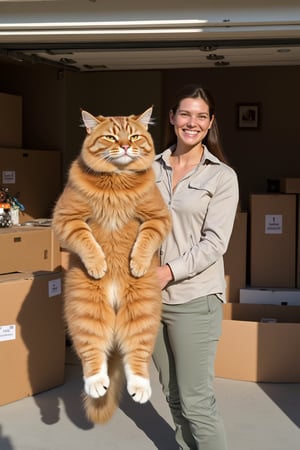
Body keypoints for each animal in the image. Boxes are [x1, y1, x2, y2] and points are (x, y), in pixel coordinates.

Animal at [52, 107, 171, 424]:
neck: (117, 181)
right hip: (88, 309)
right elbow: (87, 240)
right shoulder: (67, 219)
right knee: (93, 353)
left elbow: (145, 239)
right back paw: (96, 383)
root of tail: (116, 303)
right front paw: (98, 264)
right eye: (110, 137)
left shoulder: (158, 218)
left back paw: (140, 387)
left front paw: (137, 263)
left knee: (136, 356)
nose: (126, 146)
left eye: (134, 136)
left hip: (141, 310)